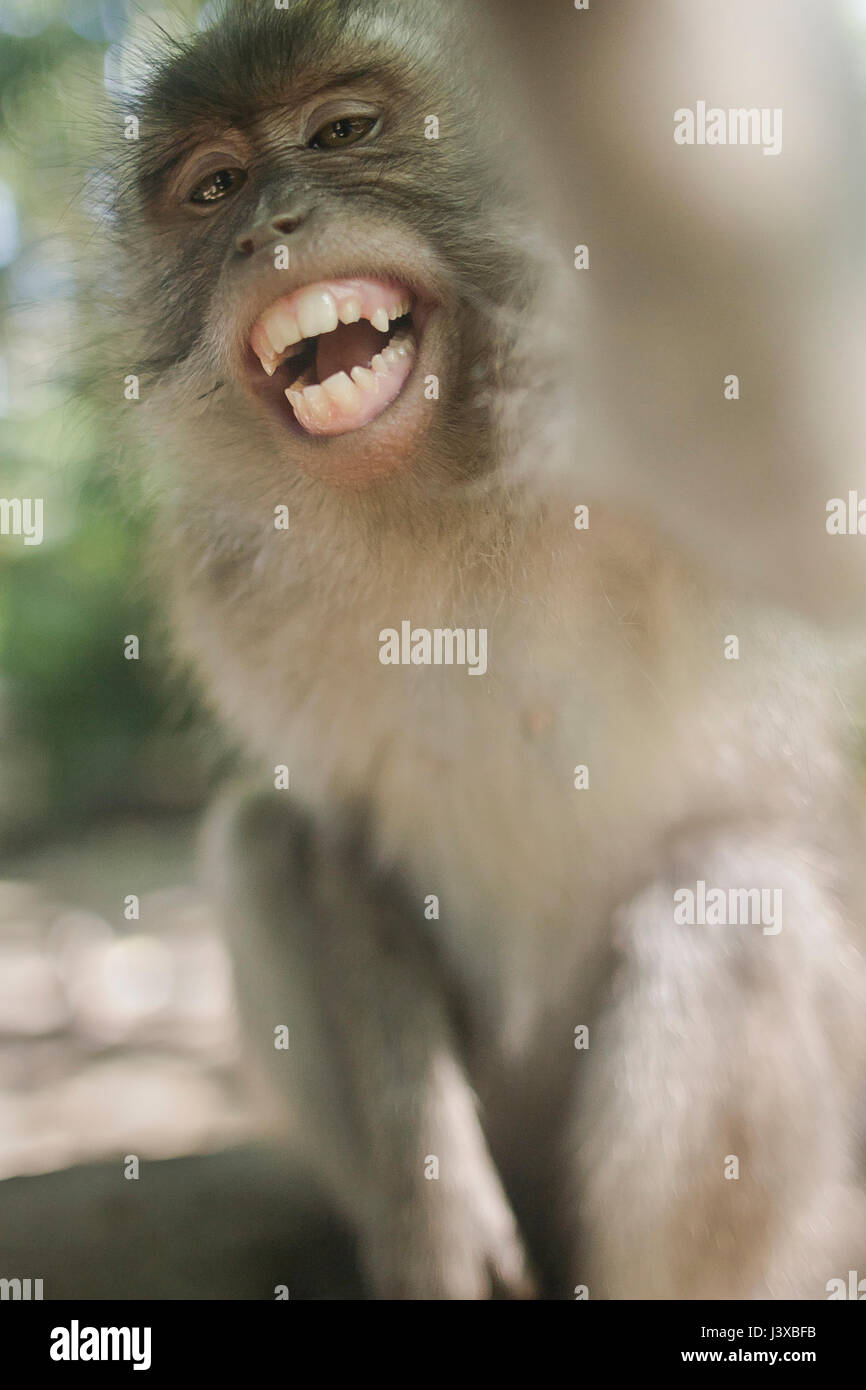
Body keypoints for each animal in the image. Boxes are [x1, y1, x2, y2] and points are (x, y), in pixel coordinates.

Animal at [106, 0, 866, 1298]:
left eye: (343, 131)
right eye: (214, 188)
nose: (268, 228)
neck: (436, 499)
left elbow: (785, 456)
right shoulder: (232, 592)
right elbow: (339, 840)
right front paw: (433, 1214)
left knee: (733, 905)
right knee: (257, 842)